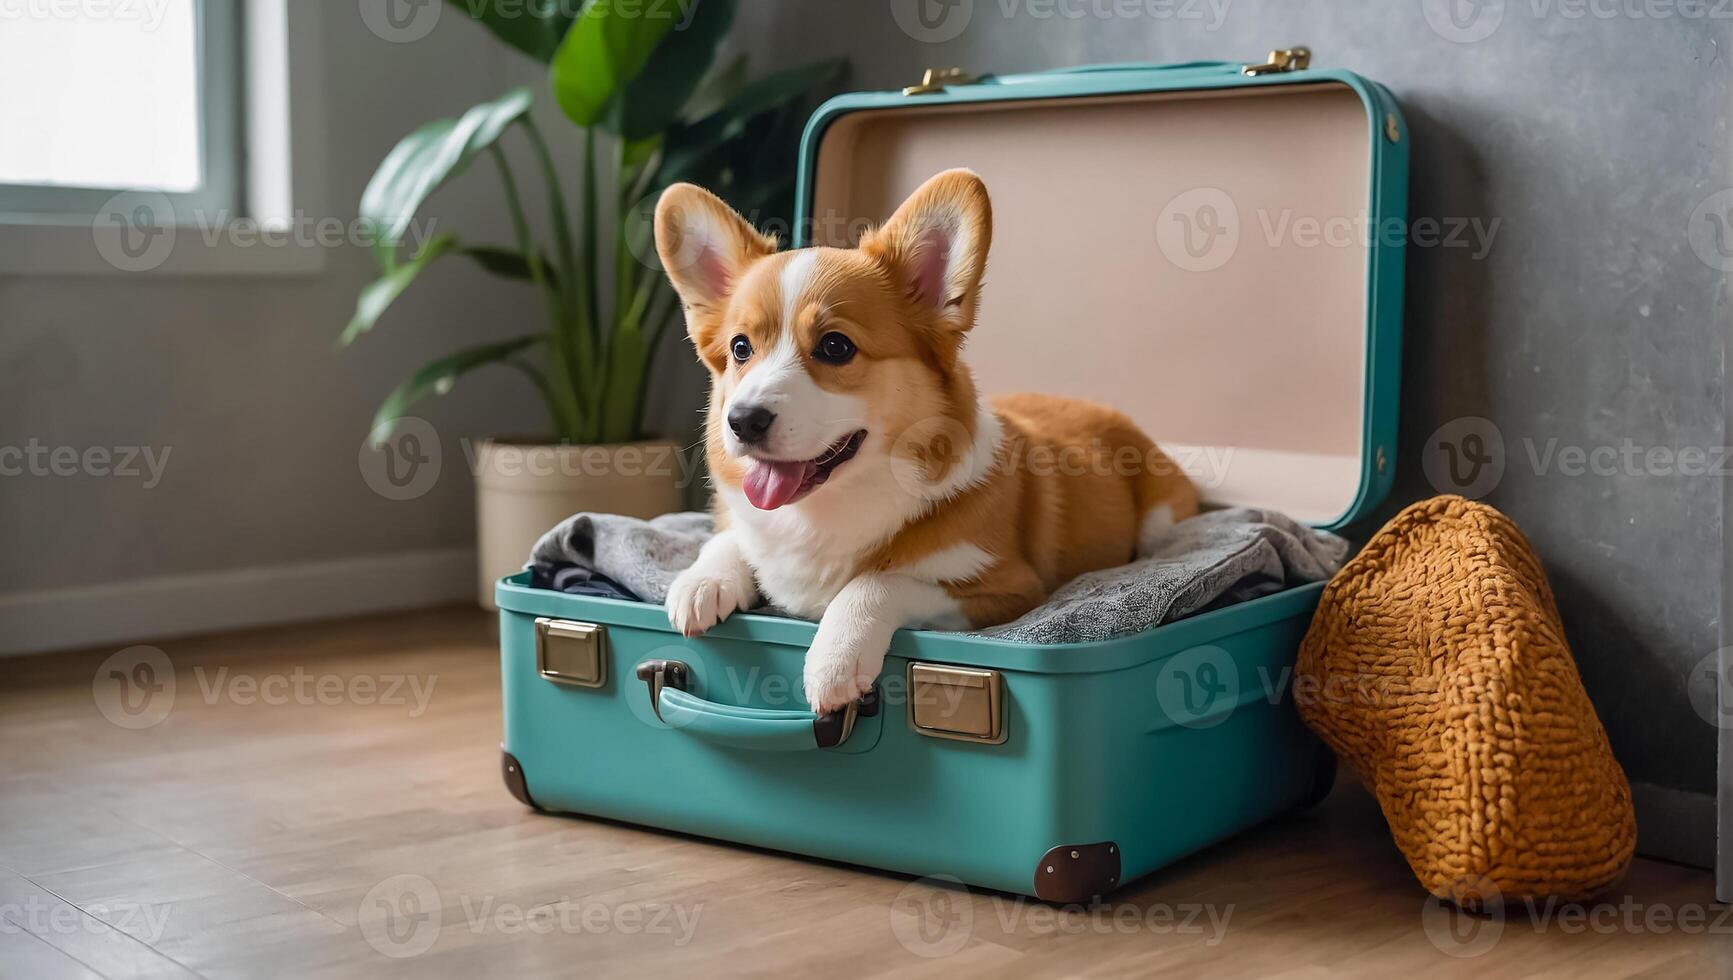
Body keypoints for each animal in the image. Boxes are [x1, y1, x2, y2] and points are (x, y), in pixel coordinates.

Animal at [655, 169, 1199, 711]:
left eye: (835, 346)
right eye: (740, 348)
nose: (742, 421)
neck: (824, 510)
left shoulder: (1007, 591)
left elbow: (880, 579)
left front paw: (834, 657)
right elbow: (729, 538)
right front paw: (701, 583)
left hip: (1158, 520)